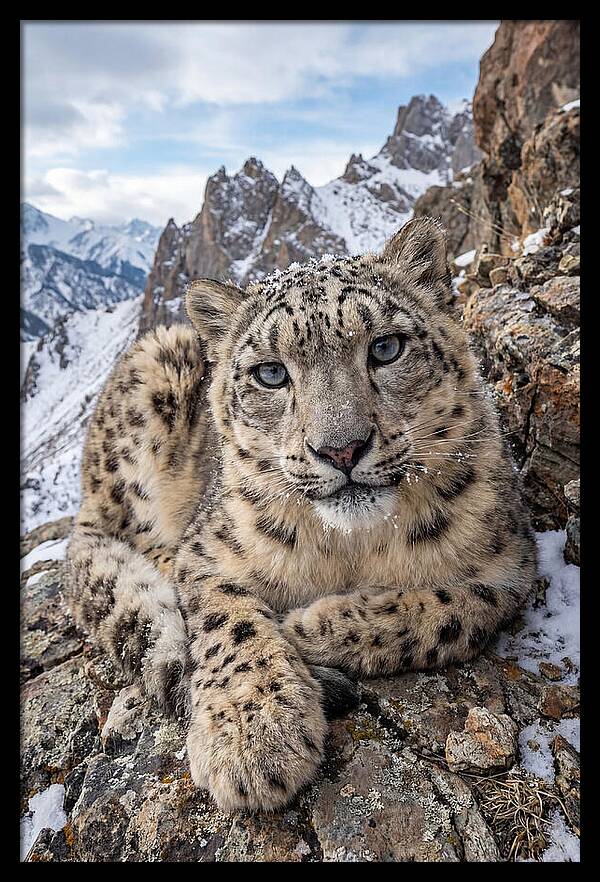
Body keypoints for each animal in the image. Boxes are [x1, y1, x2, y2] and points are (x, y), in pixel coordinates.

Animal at [65, 217, 536, 813]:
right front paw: (254, 736)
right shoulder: (207, 552)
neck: (351, 548)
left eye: (386, 347)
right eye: (271, 373)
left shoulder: (509, 565)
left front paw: (308, 626)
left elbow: (449, 610)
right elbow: (230, 621)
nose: (341, 449)